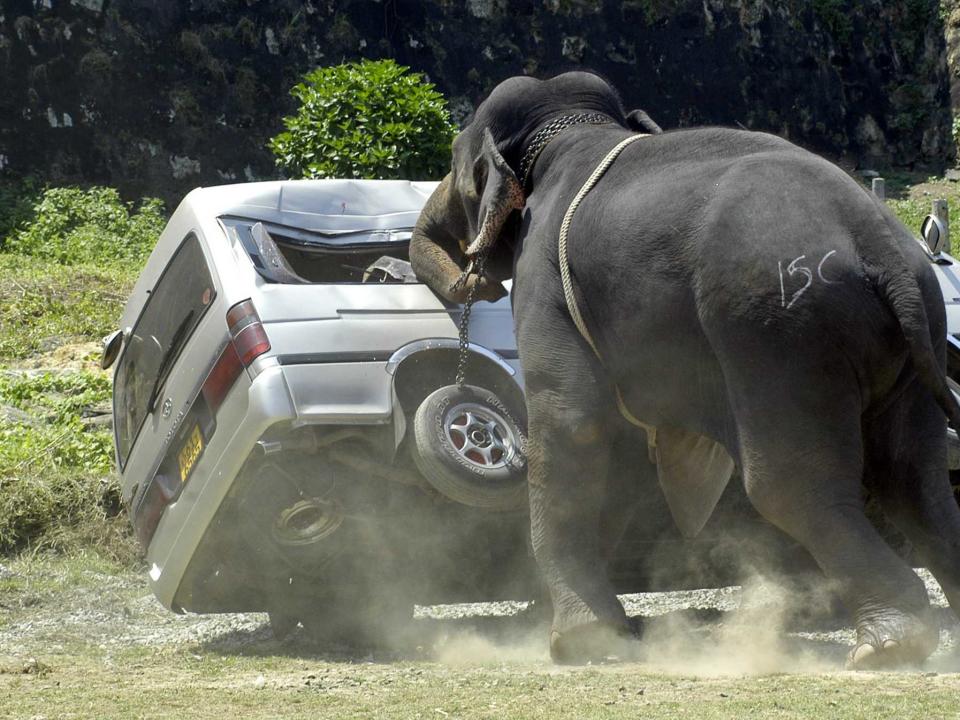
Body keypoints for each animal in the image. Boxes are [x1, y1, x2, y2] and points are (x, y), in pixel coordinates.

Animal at [408, 70, 960, 668]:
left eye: (458, 162)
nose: (474, 278)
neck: (575, 130)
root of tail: (881, 246)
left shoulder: (544, 279)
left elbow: (575, 424)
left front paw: (575, 642)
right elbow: (622, 450)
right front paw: (594, 629)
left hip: (779, 333)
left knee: (791, 482)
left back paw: (890, 645)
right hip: (912, 335)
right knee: (916, 478)